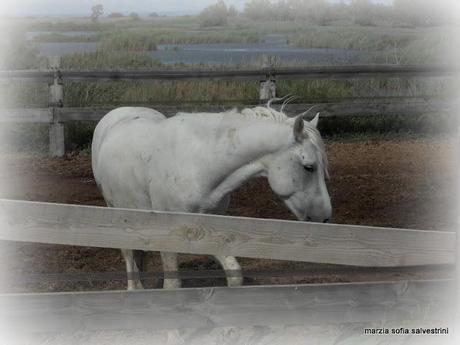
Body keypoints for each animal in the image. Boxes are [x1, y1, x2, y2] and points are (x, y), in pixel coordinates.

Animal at [91, 101, 332, 288]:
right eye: (309, 167)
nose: (325, 217)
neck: (199, 163)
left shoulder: (210, 229)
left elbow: (234, 274)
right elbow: (172, 284)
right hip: (117, 211)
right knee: (129, 257)